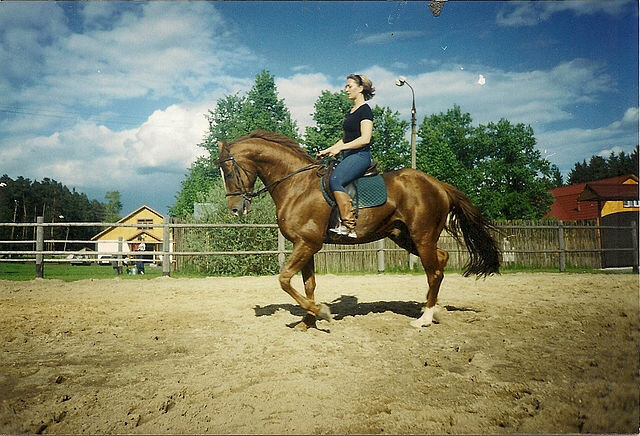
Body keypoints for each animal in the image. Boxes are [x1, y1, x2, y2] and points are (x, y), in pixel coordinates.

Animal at [215, 129, 500, 330]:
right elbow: (308, 285)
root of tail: (438, 184)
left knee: (435, 272)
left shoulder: (307, 244)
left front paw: (321, 312)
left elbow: (285, 279)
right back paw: (432, 309)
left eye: (228, 170)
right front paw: (308, 321)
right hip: (405, 237)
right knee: (441, 260)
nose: (235, 210)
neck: (297, 185)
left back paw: (425, 319)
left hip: (422, 237)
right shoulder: (305, 245)